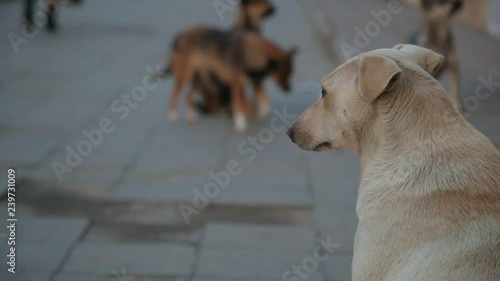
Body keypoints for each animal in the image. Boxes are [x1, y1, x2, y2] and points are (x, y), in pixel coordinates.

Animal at [164, 27, 296, 131]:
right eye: (284, 74)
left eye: (291, 73)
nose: (289, 90)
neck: (254, 52)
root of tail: (179, 36)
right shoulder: (237, 85)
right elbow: (240, 105)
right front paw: (241, 125)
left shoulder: (255, 83)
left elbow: (265, 104)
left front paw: (259, 115)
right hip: (185, 76)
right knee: (173, 95)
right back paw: (173, 116)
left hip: (201, 80)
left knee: (188, 96)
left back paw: (191, 116)